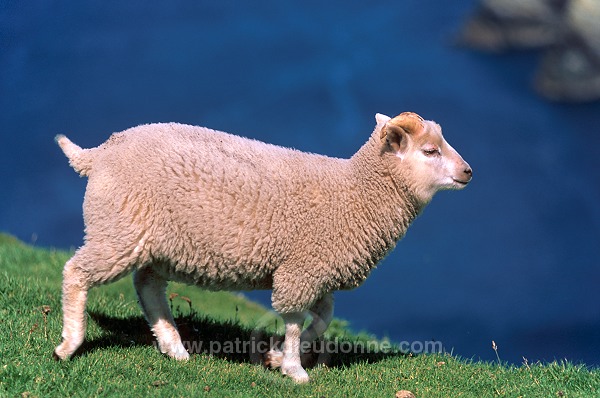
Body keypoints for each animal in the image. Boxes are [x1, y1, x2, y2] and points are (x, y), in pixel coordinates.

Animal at [52, 111, 474, 382]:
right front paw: (295, 369)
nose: (469, 171)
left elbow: (323, 319)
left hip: (158, 243)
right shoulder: (300, 269)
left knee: (148, 286)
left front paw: (278, 355)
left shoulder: (317, 270)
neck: (355, 192)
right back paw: (69, 344)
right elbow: (294, 320)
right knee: (76, 273)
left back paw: (174, 347)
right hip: (119, 229)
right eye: (430, 151)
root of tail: (98, 153)